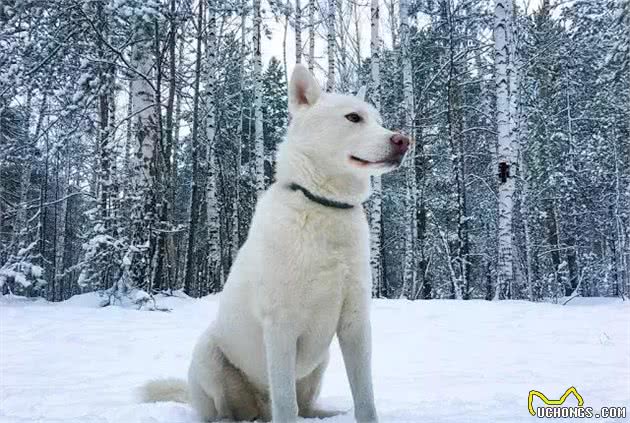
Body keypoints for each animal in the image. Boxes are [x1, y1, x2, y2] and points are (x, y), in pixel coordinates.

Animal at [143, 64, 410, 422]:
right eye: (353, 118)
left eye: (378, 119)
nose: (403, 140)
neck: (323, 206)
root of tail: (258, 409)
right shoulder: (281, 327)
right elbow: (286, 403)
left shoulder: (355, 323)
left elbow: (365, 397)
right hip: (208, 355)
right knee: (231, 411)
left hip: (320, 362)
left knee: (305, 408)